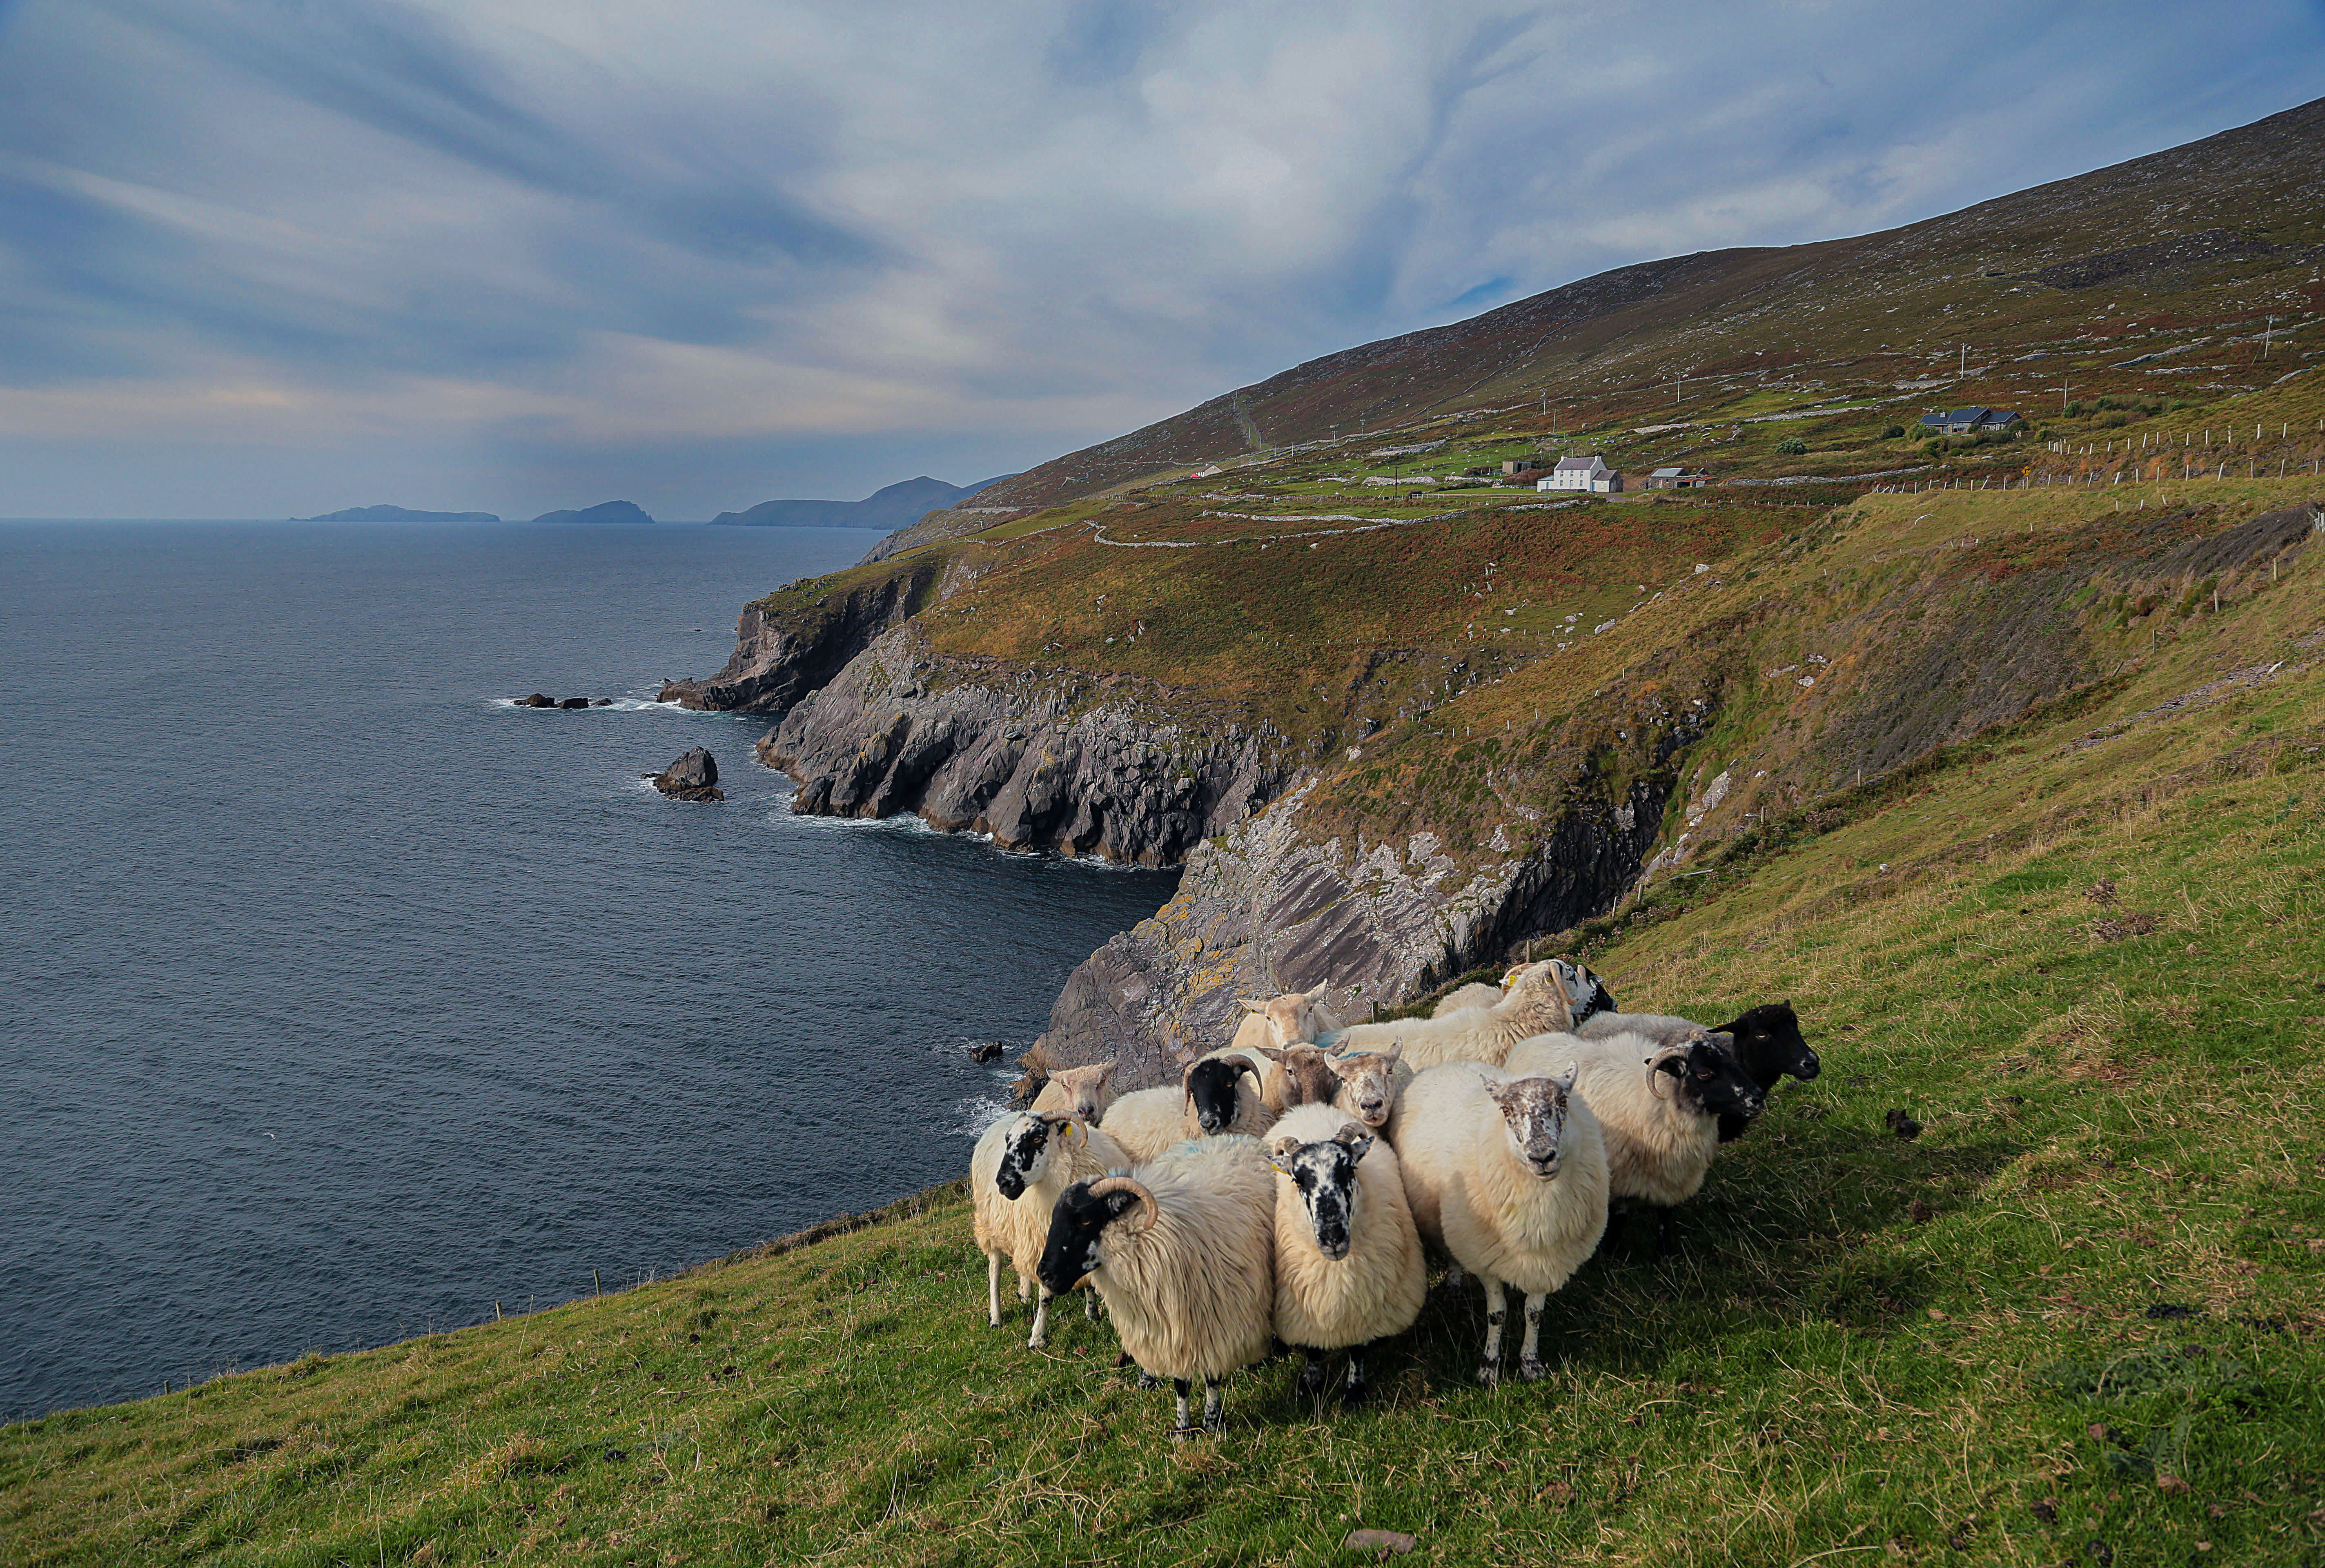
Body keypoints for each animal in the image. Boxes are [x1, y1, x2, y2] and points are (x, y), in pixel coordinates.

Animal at [967, 1112, 1130, 1340]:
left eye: (1037, 1138)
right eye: (1008, 1140)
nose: (1003, 1183)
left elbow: (1088, 1280)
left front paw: (1092, 1313)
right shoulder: (1047, 1248)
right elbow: (1045, 1296)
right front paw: (1037, 1337)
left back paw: (1024, 1292)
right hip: (989, 1225)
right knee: (994, 1271)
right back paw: (996, 1318)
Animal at [1041, 1130, 1283, 1433]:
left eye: (1085, 1220)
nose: (1044, 1274)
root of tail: (1231, 1136)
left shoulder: (1214, 1325)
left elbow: (1212, 1378)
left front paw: (1211, 1423)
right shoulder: (1171, 1327)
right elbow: (1181, 1384)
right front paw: (1182, 1429)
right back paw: (1148, 1377)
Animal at [1376, 1051, 1599, 1377]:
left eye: (1562, 1102)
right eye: (1506, 1111)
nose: (1542, 1157)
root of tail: (1448, 1063)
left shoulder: (1548, 1259)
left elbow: (1534, 1313)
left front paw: (1530, 1363)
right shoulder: (1485, 1257)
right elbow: (1497, 1314)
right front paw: (1489, 1366)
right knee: (1452, 1252)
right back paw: (1454, 1283)